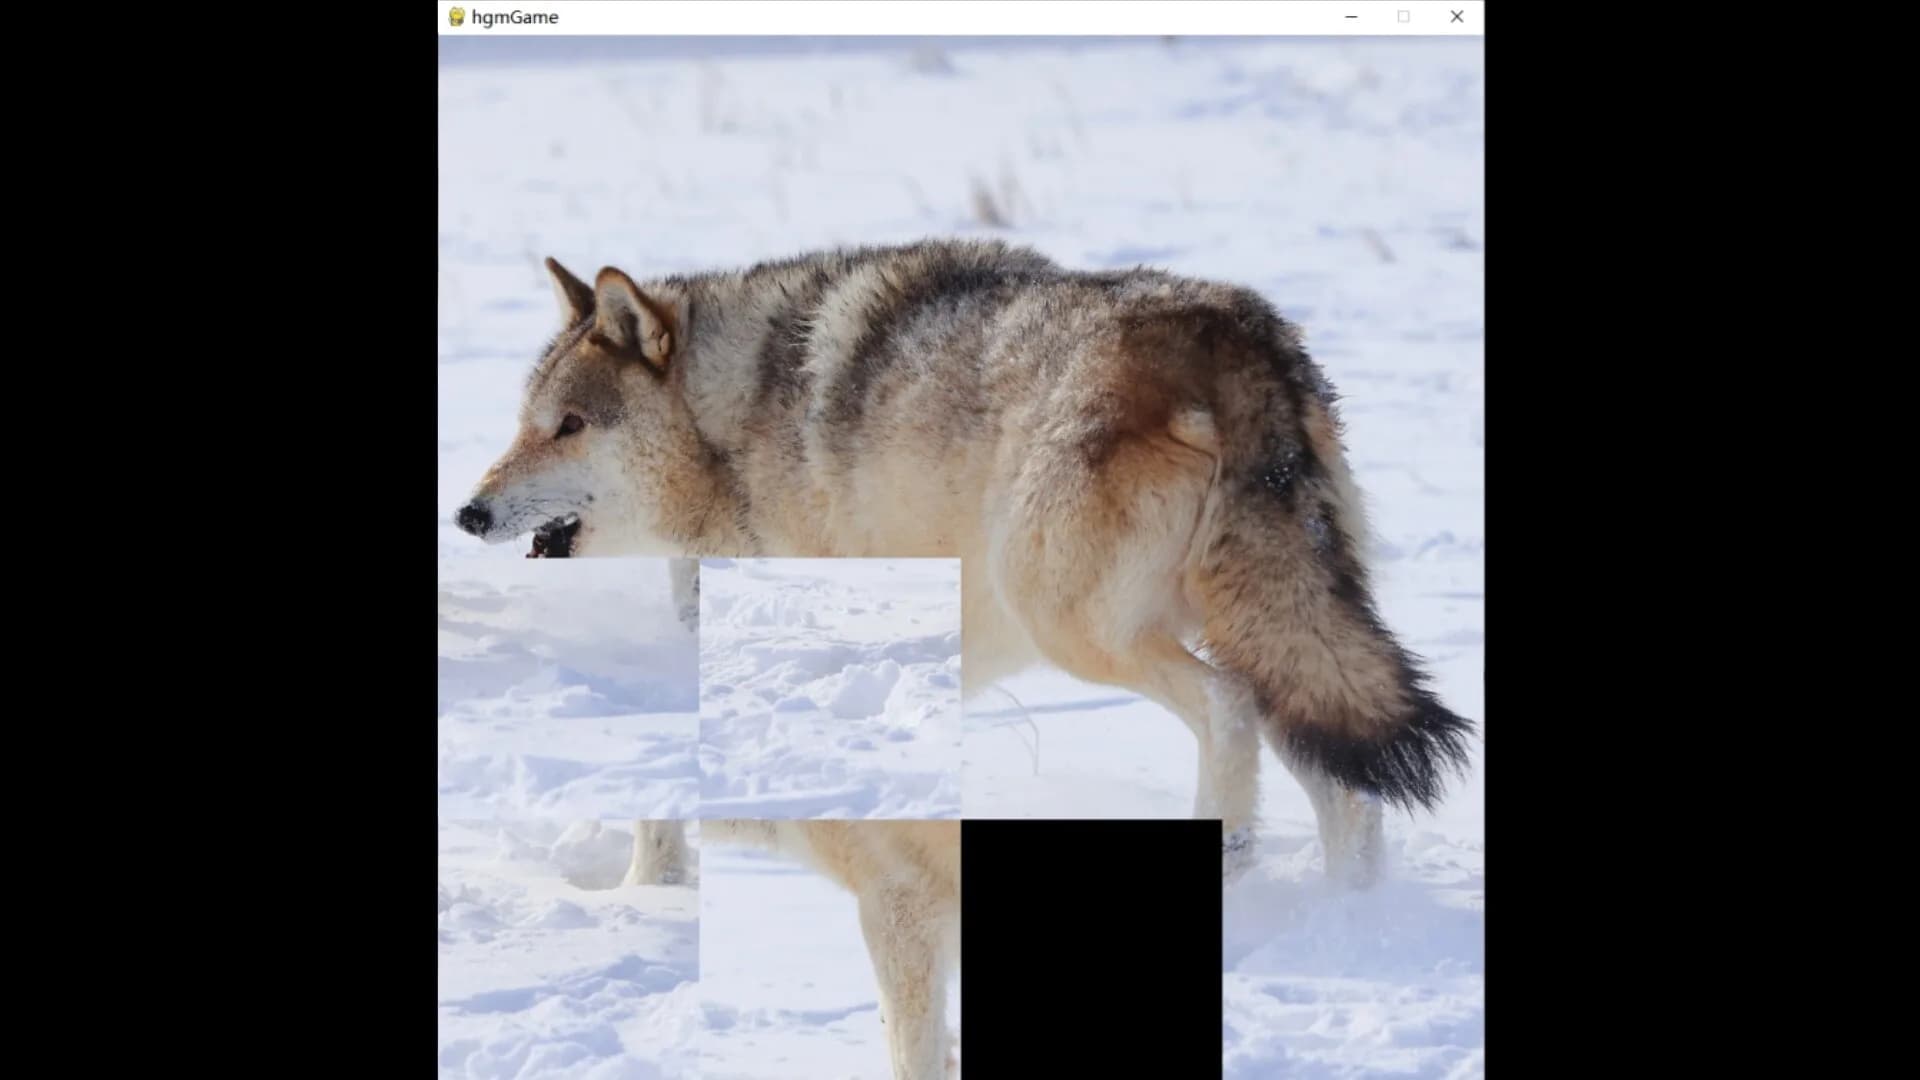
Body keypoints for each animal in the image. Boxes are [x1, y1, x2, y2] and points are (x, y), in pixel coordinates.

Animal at [455, 239, 1475, 886]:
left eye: (567, 427)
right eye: (523, 424)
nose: (468, 512)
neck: (732, 427)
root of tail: (1233, 336)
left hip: (1078, 625)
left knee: (1228, 715)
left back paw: (1235, 865)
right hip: (1268, 641)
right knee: (1342, 785)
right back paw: (1352, 916)